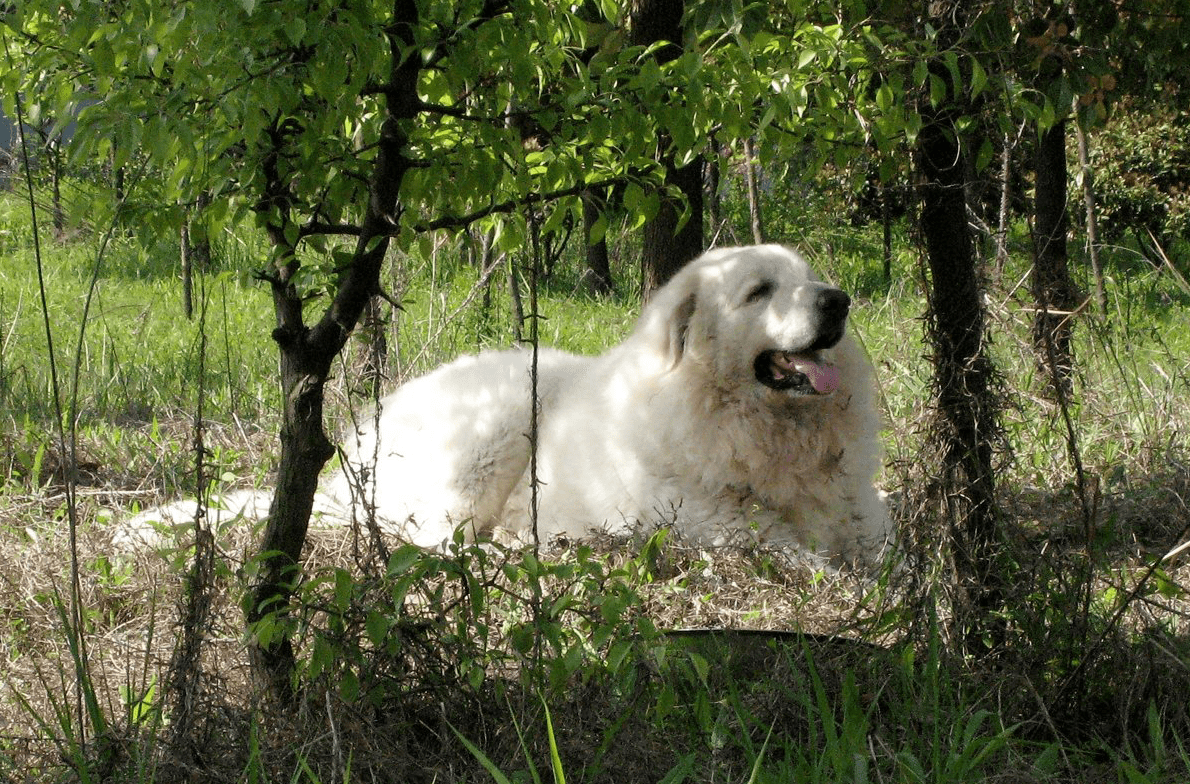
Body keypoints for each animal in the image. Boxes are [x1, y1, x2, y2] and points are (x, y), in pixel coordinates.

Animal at [321, 243, 890, 563]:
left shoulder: (860, 510)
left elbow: (888, 550)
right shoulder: (705, 520)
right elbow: (807, 560)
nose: (837, 301)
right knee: (440, 538)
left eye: (806, 279)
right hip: (499, 418)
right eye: (760, 291)